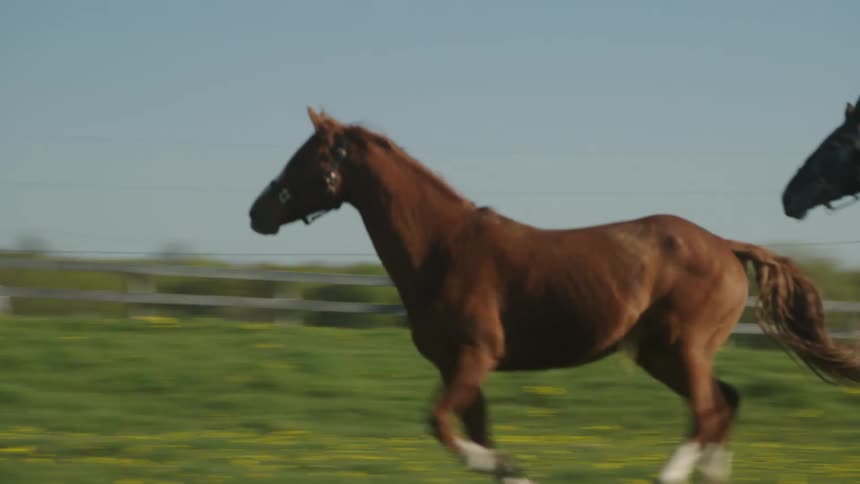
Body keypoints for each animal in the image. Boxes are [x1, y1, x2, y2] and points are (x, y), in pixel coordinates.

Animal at [249, 108, 860, 483]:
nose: (258, 213)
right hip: (663, 354)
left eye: (306, 159)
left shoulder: (474, 358)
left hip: (682, 348)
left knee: (709, 412)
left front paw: (508, 466)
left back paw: (667, 474)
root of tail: (728, 247)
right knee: (725, 404)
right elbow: (473, 431)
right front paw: (510, 468)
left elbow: (442, 427)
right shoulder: (461, 369)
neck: (442, 249)